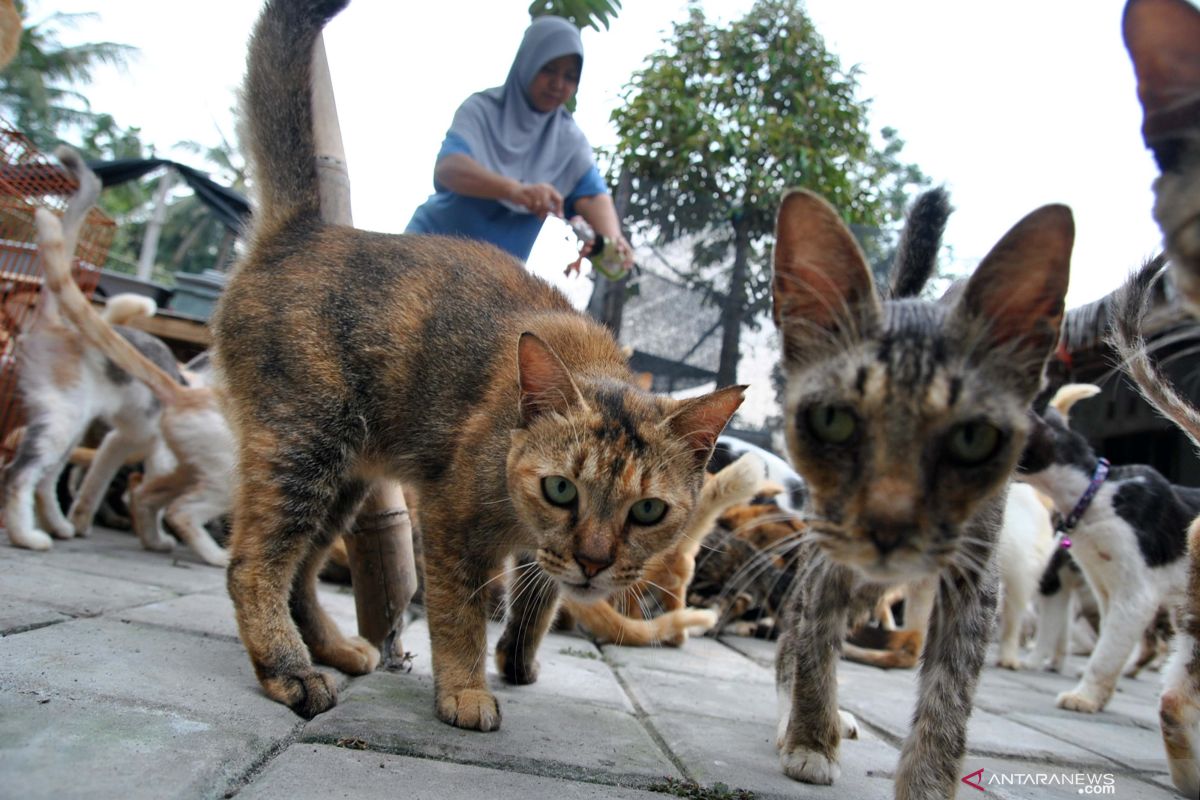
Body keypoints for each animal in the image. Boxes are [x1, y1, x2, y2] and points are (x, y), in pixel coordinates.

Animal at [35, 146, 231, 566]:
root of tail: (185, 392)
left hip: (182, 461)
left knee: (144, 494)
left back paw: (151, 539)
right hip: (226, 471)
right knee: (179, 508)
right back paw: (212, 554)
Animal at [211, 0, 744, 729]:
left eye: (649, 511)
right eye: (561, 489)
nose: (594, 561)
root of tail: (303, 229)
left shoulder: (537, 559)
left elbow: (537, 602)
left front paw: (518, 662)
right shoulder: (450, 523)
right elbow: (460, 614)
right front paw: (465, 689)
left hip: (344, 483)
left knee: (299, 574)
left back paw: (334, 648)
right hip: (303, 451)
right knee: (253, 565)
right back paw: (290, 671)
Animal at [772, 190, 1075, 796]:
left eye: (972, 437)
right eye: (834, 421)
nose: (889, 524)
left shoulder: (976, 574)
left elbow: (951, 689)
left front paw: (930, 779)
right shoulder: (831, 555)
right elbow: (814, 640)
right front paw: (811, 740)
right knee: (796, 626)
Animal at [1017, 383, 1195, 714]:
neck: (1095, 496)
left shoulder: (1136, 594)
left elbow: (1105, 653)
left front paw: (1084, 698)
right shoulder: (1104, 587)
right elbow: (1109, 646)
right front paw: (1097, 696)